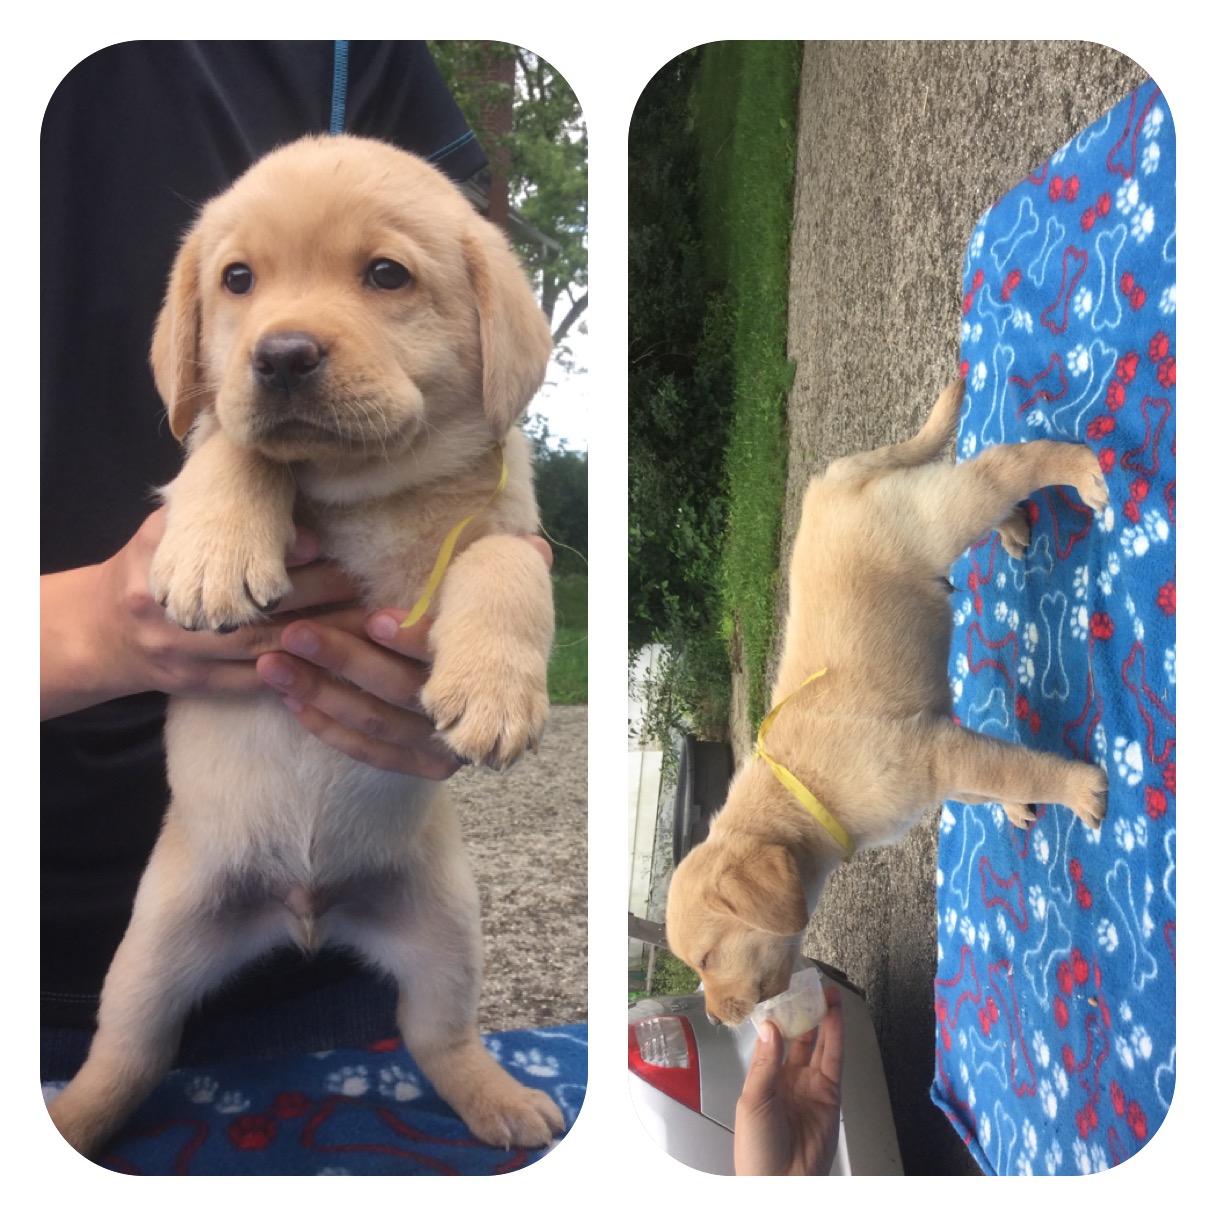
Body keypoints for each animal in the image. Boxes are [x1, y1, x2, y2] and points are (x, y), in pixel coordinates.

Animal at [46, 133, 559, 1157]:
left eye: (386, 275)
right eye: (238, 280)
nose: (279, 354)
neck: (364, 488)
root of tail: (306, 914)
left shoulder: (509, 533)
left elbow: (502, 566)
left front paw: (494, 691)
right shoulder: (216, 437)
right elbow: (228, 442)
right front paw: (214, 555)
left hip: (448, 927)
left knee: (436, 1033)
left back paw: (501, 1097)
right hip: (150, 948)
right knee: (128, 1054)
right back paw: (73, 1119)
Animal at [666, 384, 1113, 1031]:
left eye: (704, 958)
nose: (718, 1019)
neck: (797, 791)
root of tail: (834, 477)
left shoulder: (932, 755)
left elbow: (1018, 767)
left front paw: (1079, 791)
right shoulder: (940, 758)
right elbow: (992, 780)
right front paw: (1014, 806)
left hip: (937, 517)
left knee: (1005, 465)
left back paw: (1078, 469)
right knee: (983, 475)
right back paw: (1015, 526)